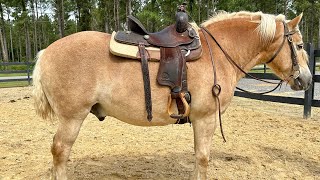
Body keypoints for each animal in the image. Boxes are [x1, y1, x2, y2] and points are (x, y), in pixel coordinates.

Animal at [33, 11, 312, 179]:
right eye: (299, 45)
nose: (307, 80)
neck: (218, 53)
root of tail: (46, 52)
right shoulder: (206, 118)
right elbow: (203, 158)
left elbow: (198, 156)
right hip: (72, 118)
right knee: (60, 152)